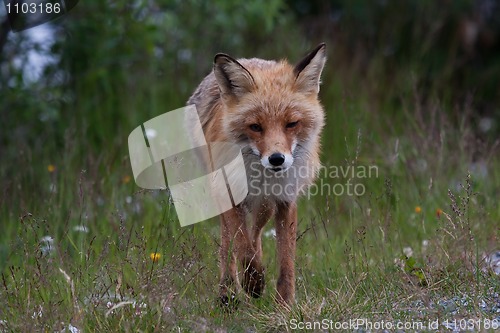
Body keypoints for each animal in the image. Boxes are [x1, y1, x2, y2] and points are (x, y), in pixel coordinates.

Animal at [188, 43, 328, 306]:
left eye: (291, 123)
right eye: (255, 127)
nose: (276, 159)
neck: (259, 176)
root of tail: (250, 59)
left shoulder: (285, 200)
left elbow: (285, 260)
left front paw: (284, 305)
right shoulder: (228, 193)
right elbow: (242, 247)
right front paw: (252, 282)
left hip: (265, 206)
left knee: (256, 234)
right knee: (229, 242)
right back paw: (228, 292)